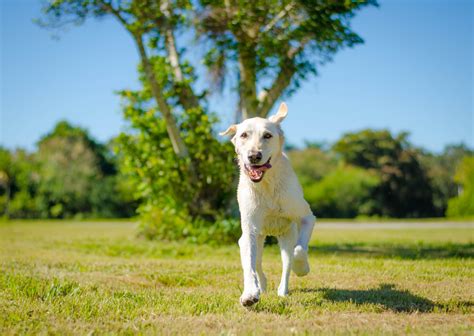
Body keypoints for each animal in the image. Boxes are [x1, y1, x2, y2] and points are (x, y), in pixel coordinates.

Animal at [220, 102, 316, 308]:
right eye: (244, 135)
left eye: (267, 135)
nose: (254, 156)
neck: (266, 185)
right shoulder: (249, 232)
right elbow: (249, 266)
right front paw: (250, 294)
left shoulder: (307, 217)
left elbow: (299, 250)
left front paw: (302, 268)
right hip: (258, 238)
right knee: (256, 263)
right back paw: (261, 286)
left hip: (287, 235)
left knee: (287, 261)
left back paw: (282, 290)